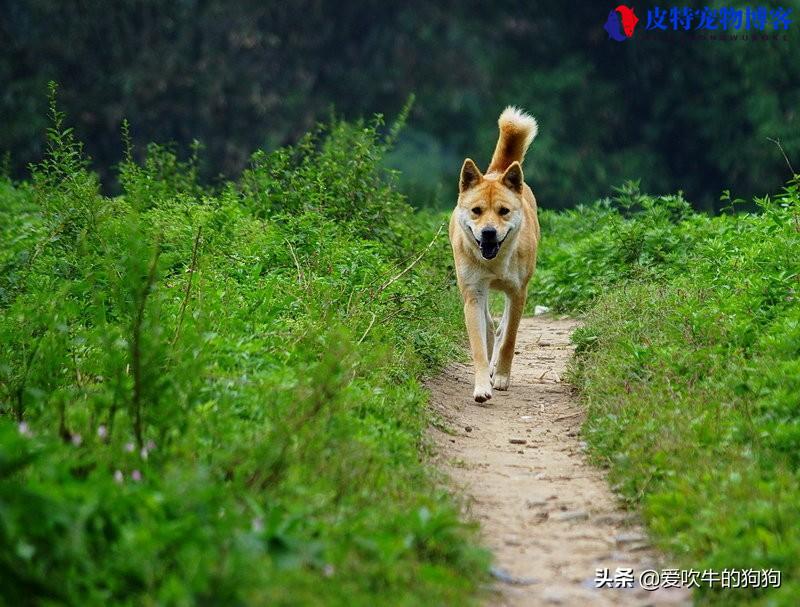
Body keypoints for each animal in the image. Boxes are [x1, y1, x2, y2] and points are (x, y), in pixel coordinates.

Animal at [446, 108, 540, 404]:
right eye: (476, 210)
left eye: (503, 211)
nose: (488, 233)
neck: (495, 262)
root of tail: (497, 172)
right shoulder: (474, 293)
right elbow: (478, 344)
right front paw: (481, 386)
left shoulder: (518, 292)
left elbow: (509, 338)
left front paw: (501, 377)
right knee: (488, 326)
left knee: (501, 329)